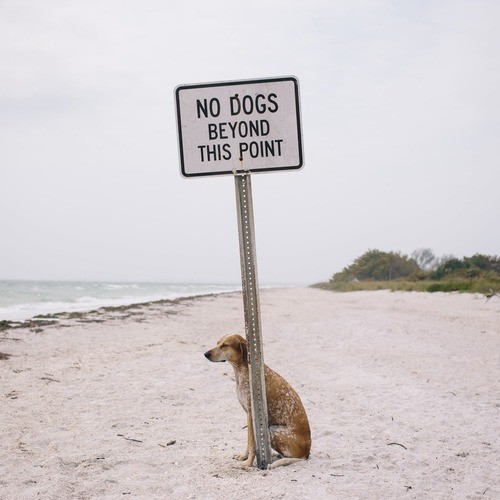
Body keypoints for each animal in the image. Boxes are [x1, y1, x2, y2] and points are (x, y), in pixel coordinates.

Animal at [203, 332, 308, 468]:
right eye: (217, 343)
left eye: (225, 345)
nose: (205, 354)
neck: (242, 370)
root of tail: (307, 452)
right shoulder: (248, 414)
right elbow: (249, 442)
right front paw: (244, 457)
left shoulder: (251, 413)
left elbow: (252, 443)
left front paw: (248, 463)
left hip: (272, 431)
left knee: (295, 458)